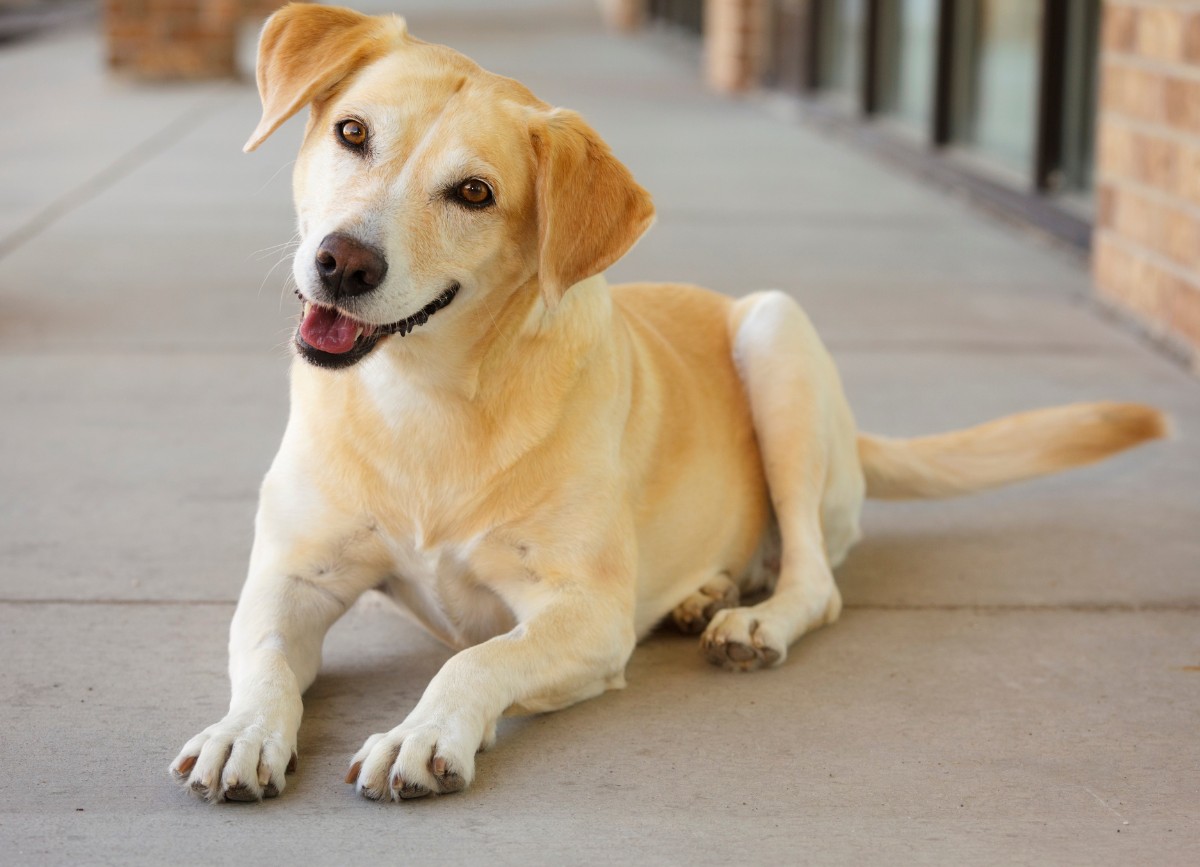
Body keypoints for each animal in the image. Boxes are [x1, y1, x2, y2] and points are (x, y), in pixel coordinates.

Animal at [169, 3, 1161, 802]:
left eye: (474, 192)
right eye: (351, 132)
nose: (343, 261)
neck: (425, 396)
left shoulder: (588, 614)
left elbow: (478, 655)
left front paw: (423, 730)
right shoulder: (290, 578)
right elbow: (264, 661)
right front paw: (242, 732)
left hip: (776, 335)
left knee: (816, 577)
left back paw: (752, 616)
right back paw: (701, 591)